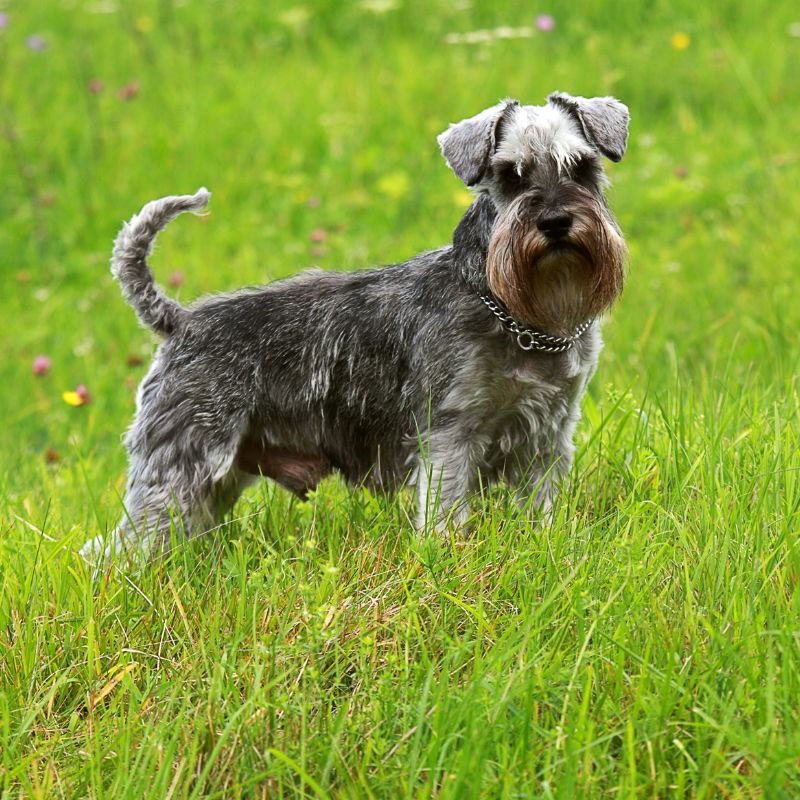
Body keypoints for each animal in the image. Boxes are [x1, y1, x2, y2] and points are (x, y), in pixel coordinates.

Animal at [81, 90, 632, 564]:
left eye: (582, 167)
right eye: (511, 175)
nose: (555, 222)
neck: (517, 313)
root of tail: (181, 321)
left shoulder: (547, 438)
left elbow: (541, 511)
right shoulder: (450, 436)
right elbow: (446, 516)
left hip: (214, 481)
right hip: (179, 465)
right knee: (116, 549)